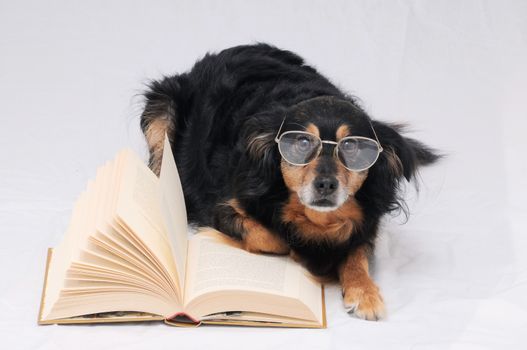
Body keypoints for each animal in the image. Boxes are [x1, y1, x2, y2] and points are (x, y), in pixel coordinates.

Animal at [138, 43, 440, 320]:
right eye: (301, 144)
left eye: (352, 148)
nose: (326, 185)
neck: (317, 220)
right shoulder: (223, 206)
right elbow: (272, 237)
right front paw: (308, 253)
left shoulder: (366, 221)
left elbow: (356, 252)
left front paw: (364, 292)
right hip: (161, 110)